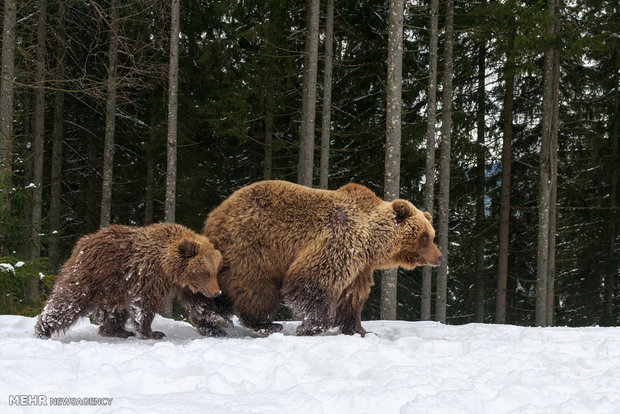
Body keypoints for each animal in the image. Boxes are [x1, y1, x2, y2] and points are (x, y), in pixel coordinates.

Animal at [194, 181, 440, 336]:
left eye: (432, 234)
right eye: (425, 236)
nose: (439, 256)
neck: (372, 243)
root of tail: (212, 218)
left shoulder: (361, 266)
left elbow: (353, 296)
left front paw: (360, 329)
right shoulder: (339, 240)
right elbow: (313, 281)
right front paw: (310, 327)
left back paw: (210, 321)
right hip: (252, 248)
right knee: (256, 288)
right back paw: (265, 324)